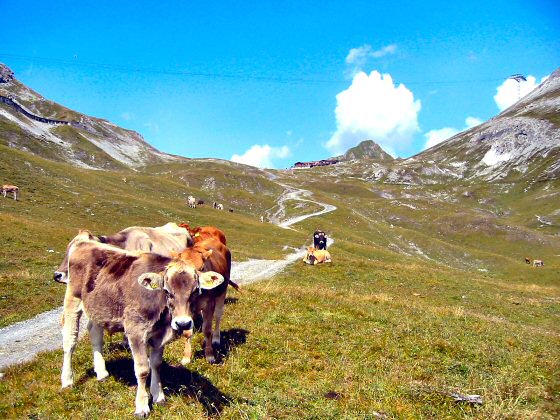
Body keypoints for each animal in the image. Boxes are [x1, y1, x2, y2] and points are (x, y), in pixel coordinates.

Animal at [60, 236, 226, 416]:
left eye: (195, 291)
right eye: (167, 291)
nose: (183, 323)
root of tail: (83, 241)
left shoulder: (160, 334)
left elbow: (156, 364)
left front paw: (158, 395)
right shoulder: (136, 332)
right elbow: (143, 369)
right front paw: (142, 405)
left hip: (98, 307)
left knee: (95, 334)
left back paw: (102, 372)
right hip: (73, 300)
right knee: (70, 341)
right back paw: (67, 380)